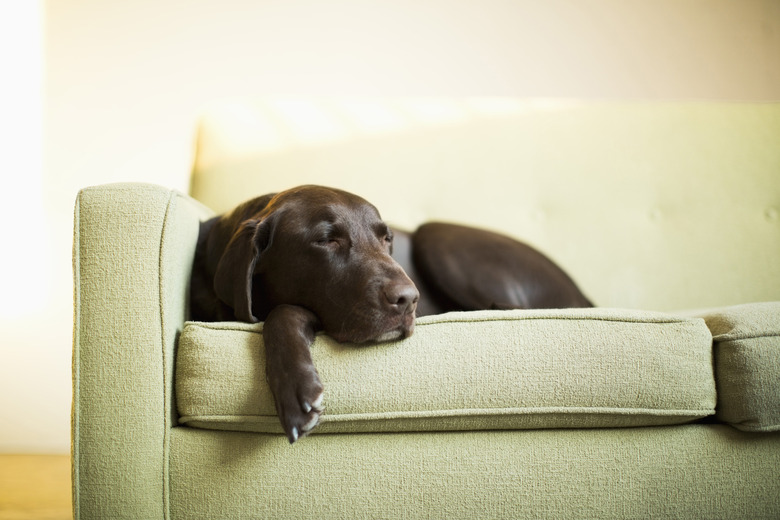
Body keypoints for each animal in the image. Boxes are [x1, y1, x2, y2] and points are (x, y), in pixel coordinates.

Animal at [189, 185, 592, 440]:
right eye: (326, 240)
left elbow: (283, 311)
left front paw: (296, 390)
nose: (409, 299)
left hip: (436, 235)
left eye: (387, 239)